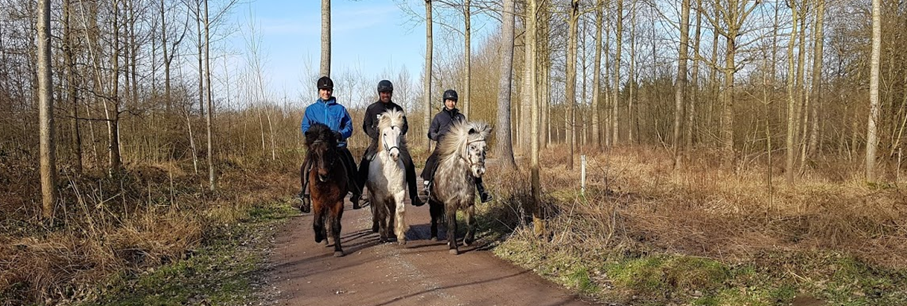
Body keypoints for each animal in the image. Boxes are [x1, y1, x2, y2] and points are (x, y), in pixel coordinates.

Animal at [304, 123, 350, 256]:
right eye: (313, 151)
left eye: (328, 150)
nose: (323, 175)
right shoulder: (317, 201)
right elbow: (317, 223)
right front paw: (318, 237)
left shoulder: (338, 201)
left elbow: (335, 225)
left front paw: (338, 250)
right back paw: (324, 238)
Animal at [368, 110, 412, 244]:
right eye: (385, 134)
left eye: (400, 133)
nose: (395, 154)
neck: (389, 169)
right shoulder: (378, 194)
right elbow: (382, 213)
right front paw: (383, 236)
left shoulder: (399, 192)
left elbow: (399, 211)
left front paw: (400, 236)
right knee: (375, 209)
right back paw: (376, 226)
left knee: (392, 210)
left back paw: (391, 231)